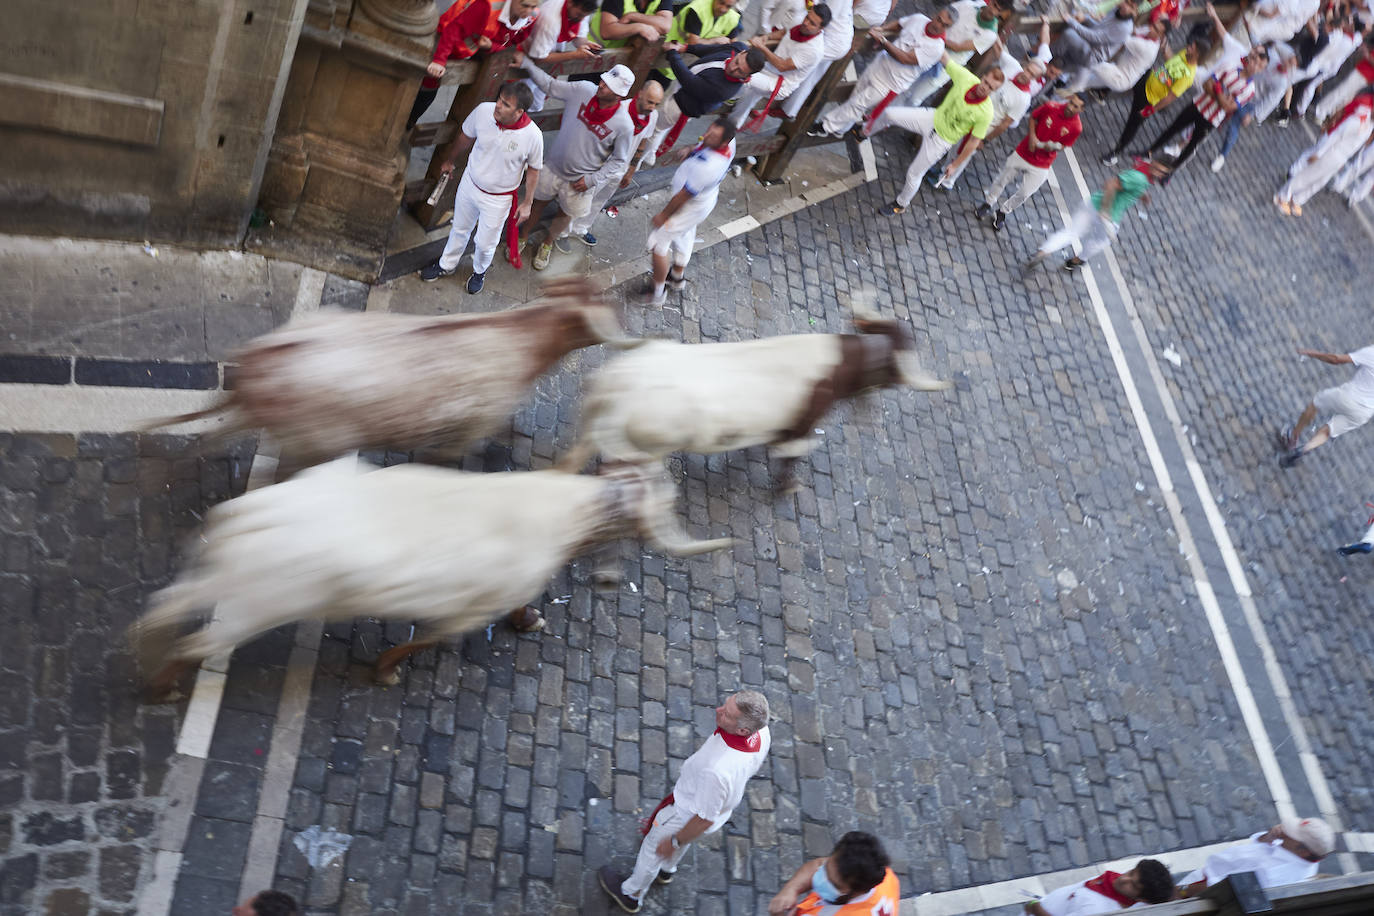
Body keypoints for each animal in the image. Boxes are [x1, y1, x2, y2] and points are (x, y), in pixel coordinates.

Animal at [129, 458, 730, 694]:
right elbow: (421, 643)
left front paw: (530, 618)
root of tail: (245, 518)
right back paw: (160, 688)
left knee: (168, 606)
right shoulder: (465, 611)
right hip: (256, 606)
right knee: (196, 640)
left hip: (224, 583)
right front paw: (386, 671)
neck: (559, 513)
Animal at [150, 277, 637, 477]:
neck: (523, 338)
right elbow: (445, 453)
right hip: (316, 441)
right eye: (598, 310)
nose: (623, 314)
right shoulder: (474, 421)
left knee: (221, 428)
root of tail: (261, 358)